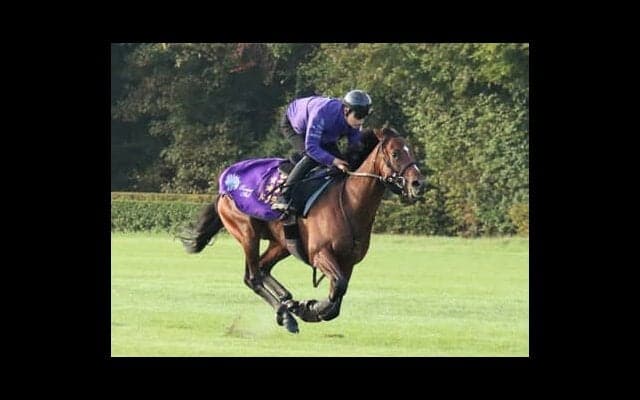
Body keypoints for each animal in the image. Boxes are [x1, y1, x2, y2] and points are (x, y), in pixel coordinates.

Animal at [181, 127, 424, 333]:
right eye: (395, 154)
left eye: (411, 150)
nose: (417, 183)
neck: (349, 202)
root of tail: (225, 185)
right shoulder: (320, 254)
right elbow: (338, 287)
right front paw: (309, 308)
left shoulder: (348, 262)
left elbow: (338, 295)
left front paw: (307, 308)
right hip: (247, 232)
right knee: (253, 277)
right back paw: (287, 314)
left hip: (282, 243)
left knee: (263, 268)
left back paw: (287, 302)